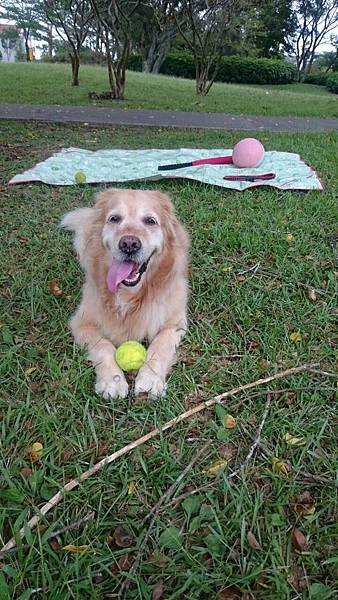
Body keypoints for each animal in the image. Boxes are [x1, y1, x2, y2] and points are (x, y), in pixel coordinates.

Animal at [59, 190, 189, 400]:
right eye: (114, 218)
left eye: (150, 221)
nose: (129, 244)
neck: (130, 296)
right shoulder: (81, 322)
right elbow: (103, 345)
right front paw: (113, 380)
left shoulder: (175, 324)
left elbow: (160, 346)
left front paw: (150, 379)